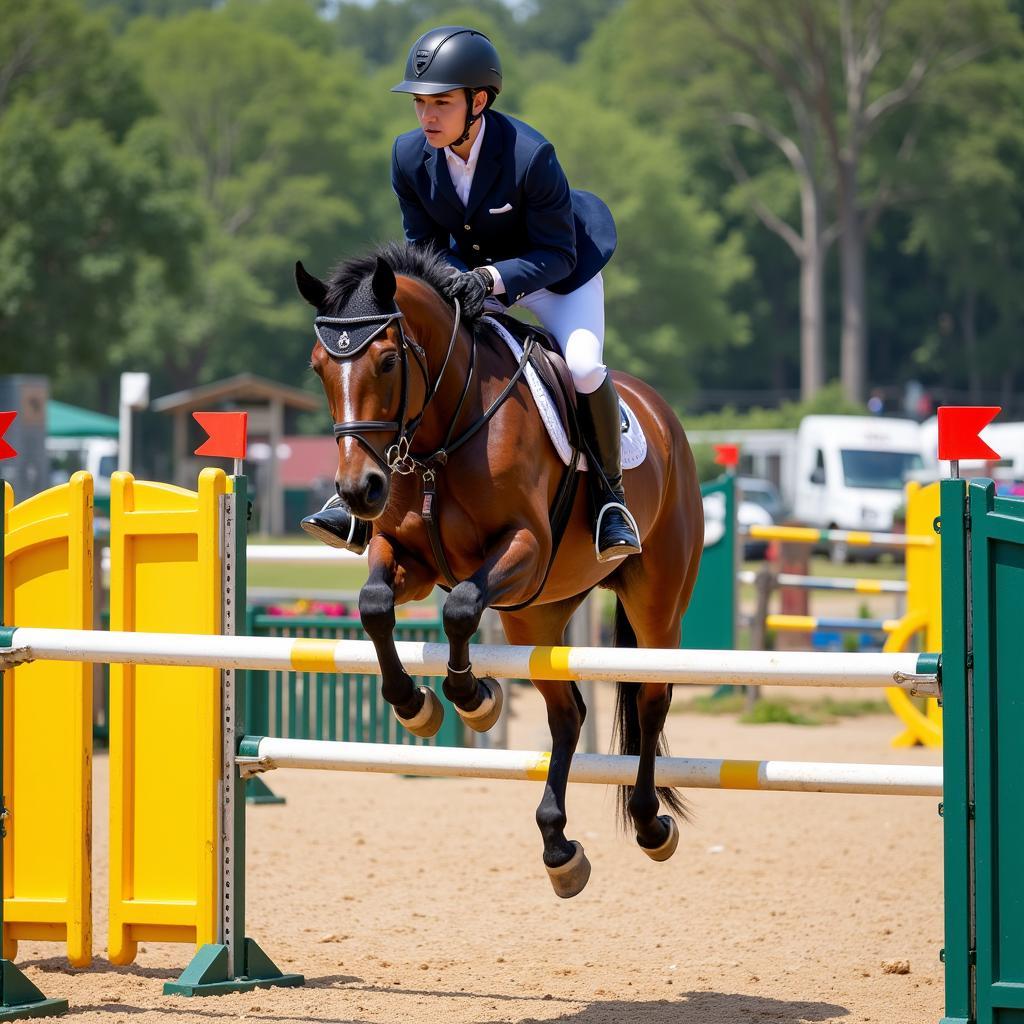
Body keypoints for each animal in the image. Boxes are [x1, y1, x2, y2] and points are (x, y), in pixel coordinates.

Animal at [296, 241, 704, 897]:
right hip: (535, 613)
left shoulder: (525, 547)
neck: (439, 439)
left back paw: (649, 823)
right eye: (318, 369)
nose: (360, 491)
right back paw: (559, 847)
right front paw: (416, 705)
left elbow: (462, 607)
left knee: (650, 697)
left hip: (656, 602)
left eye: (388, 361)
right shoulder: (407, 556)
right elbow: (375, 606)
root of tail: (664, 416)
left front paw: (473, 697)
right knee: (568, 715)